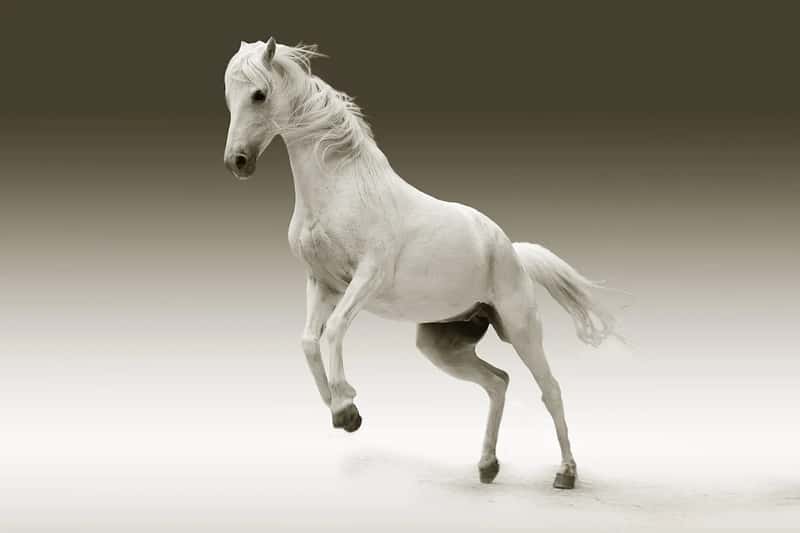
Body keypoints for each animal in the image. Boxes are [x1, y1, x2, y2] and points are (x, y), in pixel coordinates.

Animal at [222, 37, 615, 490]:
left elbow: (334, 329)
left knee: (550, 389)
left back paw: (565, 473)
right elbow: (307, 341)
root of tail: (512, 251)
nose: (237, 162)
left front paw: (347, 408)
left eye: (259, 94)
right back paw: (487, 466)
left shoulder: (367, 278)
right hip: (441, 344)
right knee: (497, 382)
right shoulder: (322, 283)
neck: (342, 188)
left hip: (520, 329)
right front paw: (340, 409)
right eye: (229, 96)